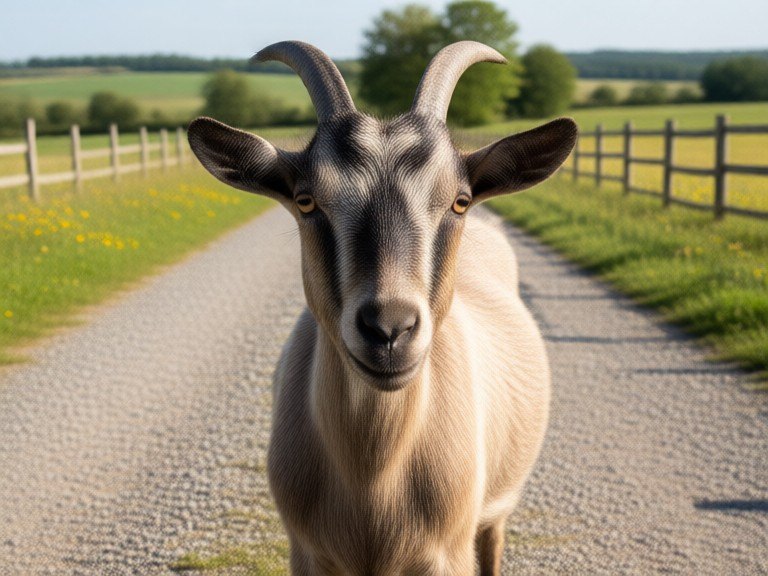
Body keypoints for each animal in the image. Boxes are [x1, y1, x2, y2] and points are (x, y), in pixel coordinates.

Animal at [188, 40, 577, 576]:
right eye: (306, 201)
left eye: (459, 201)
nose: (389, 328)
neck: (374, 481)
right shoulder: (308, 553)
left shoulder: (446, 554)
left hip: (497, 508)